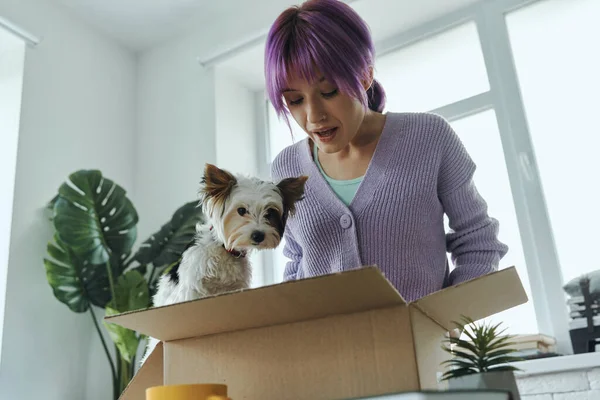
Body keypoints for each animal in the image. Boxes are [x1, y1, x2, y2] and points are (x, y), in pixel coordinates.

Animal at [141, 162, 308, 366]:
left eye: (270, 213)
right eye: (241, 210)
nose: (258, 235)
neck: (225, 251)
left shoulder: (236, 288)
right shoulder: (192, 290)